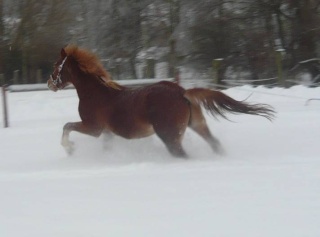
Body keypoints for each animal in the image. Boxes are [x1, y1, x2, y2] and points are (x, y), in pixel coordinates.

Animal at [47, 45, 276, 158]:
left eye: (57, 65)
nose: (50, 83)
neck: (95, 94)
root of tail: (182, 92)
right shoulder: (107, 133)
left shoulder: (93, 128)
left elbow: (67, 126)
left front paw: (70, 148)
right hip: (197, 125)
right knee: (215, 144)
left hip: (170, 136)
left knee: (182, 154)